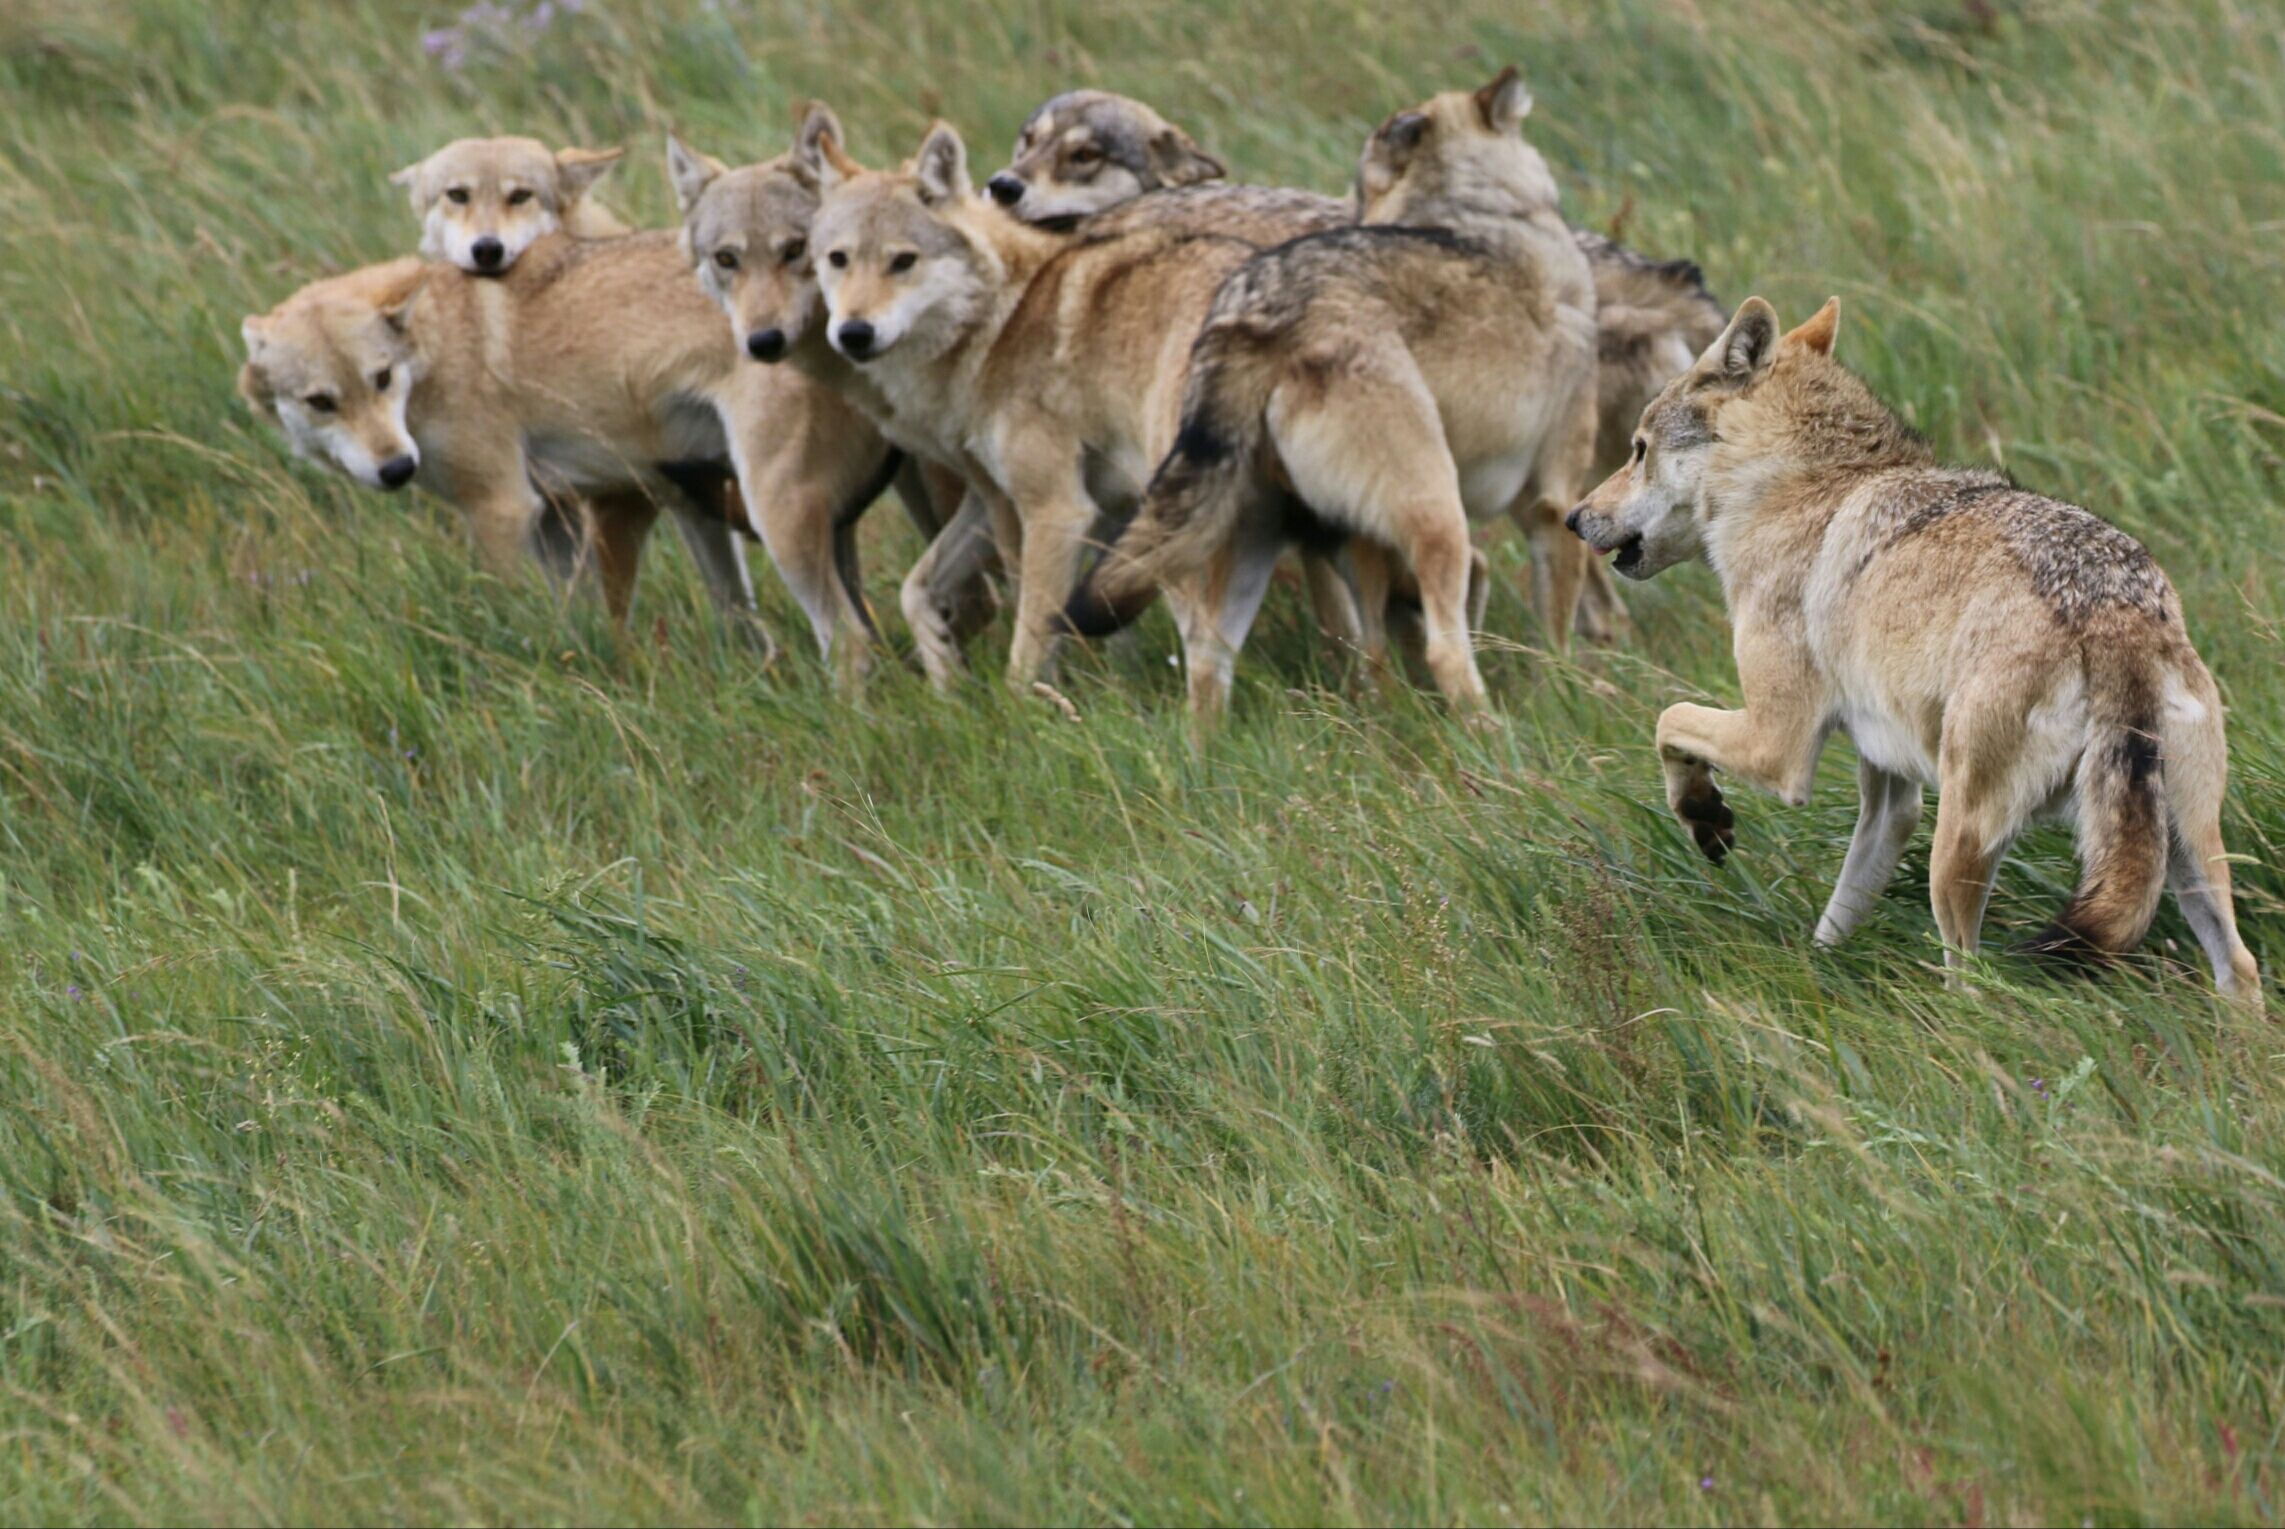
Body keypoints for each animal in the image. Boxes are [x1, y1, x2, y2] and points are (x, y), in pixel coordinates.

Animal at [236, 235, 882, 653]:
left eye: (380, 379)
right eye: (322, 402)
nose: (396, 468)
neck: (435, 348)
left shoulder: (501, 510)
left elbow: (505, 615)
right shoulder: (558, 519)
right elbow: (582, 624)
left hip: (768, 518)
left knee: (848, 640)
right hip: (712, 515)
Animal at [1562, 297, 2257, 1005]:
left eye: (1638, 450)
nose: (1574, 517)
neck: (1801, 483)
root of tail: (2115, 615)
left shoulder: (1777, 749)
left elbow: (1667, 721)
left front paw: (1705, 818)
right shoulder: (1892, 797)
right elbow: (1836, 915)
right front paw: (1817, 978)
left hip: (1958, 850)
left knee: (1975, 983)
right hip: (2185, 855)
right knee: (2242, 965)